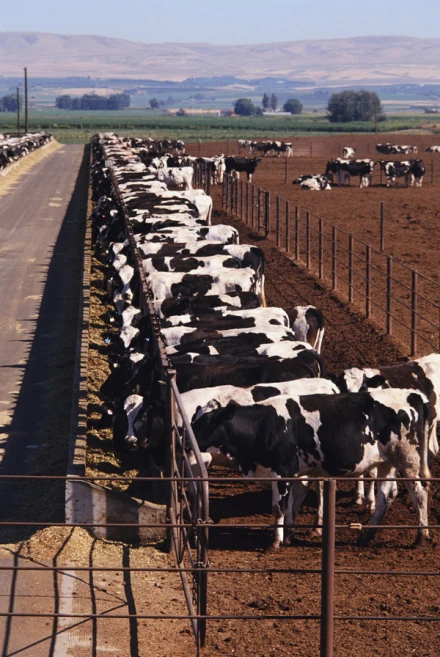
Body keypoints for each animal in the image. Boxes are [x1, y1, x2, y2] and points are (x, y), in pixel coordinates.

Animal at [192, 390, 430, 548]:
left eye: (206, 422)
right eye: (195, 419)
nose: (187, 439)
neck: (266, 425)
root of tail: (414, 396)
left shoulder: (281, 471)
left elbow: (279, 507)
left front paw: (275, 541)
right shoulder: (296, 472)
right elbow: (293, 502)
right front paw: (288, 534)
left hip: (407, 462)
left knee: (419, 493)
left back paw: (422, 537)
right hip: (386, 463)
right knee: (384, 498)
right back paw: (366, 536)